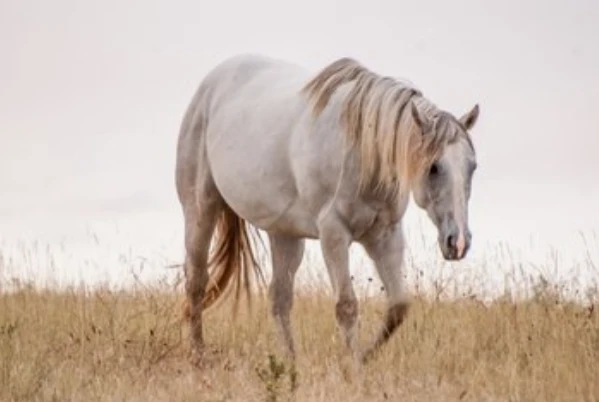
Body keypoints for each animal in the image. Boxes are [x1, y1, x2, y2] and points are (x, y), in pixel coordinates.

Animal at [173, 53, 478, 364]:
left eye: (472, 166)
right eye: (434, 167)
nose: (458, 242)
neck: (361, 151)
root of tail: (211, 85)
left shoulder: (386, 236)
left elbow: (398, 306)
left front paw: (365, 356)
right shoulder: (334, 234)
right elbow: (347, 306)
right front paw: (354, 366)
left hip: (284, 234)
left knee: (279, 299)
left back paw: (291, 363)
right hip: (201, 210)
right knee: (197, 281)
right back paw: (198, 353)